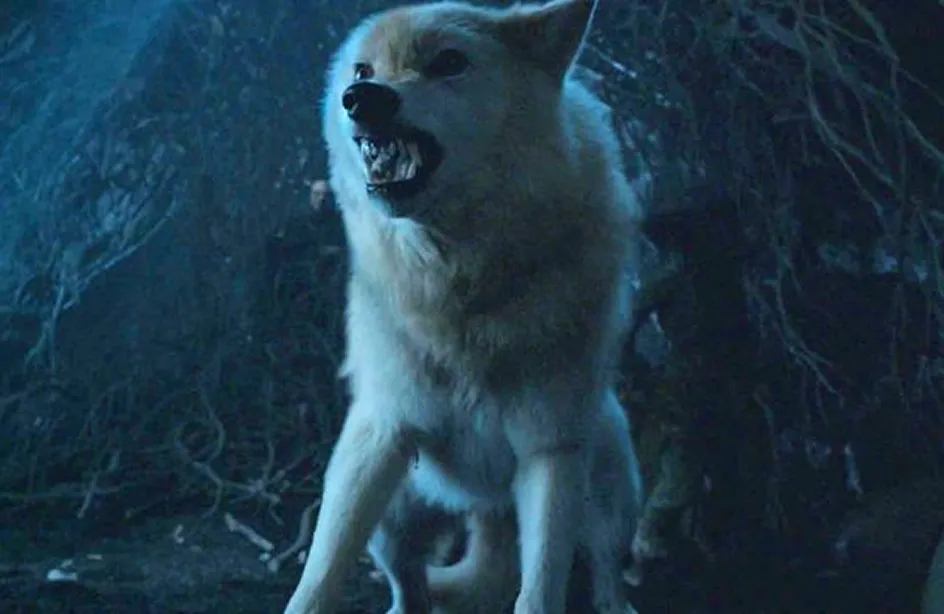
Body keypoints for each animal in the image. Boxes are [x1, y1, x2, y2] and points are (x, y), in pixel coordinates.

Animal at [283, 1, 644, 613]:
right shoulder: (381, 429)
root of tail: (483, 504)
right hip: (390, 516)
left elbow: (539, 589)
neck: (462, 286)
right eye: (362, 70)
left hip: (606, 486)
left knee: (605, 578)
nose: (361, 98)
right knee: (409, 590)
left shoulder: (549, 451)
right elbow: (319, 578)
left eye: (449, 62)